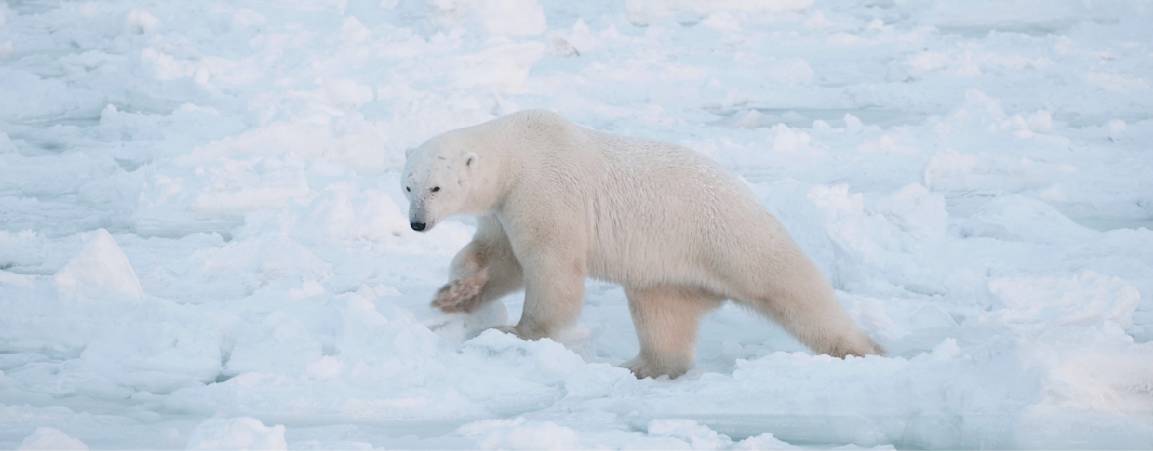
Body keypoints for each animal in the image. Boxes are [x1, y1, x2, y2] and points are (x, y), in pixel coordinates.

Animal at [405, 111, 880, 380]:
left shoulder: (544, 190)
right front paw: (454, 294)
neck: (518, 151)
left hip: (730, 237)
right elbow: (499, 257)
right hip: (669, 271)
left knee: (795, 291)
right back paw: (642, 367)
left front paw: (517, 331)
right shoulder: (505, 205)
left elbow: (549, 265)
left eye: (436, 186)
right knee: (662, 315)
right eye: (407, 185)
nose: (417, 223)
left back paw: (863, 350)